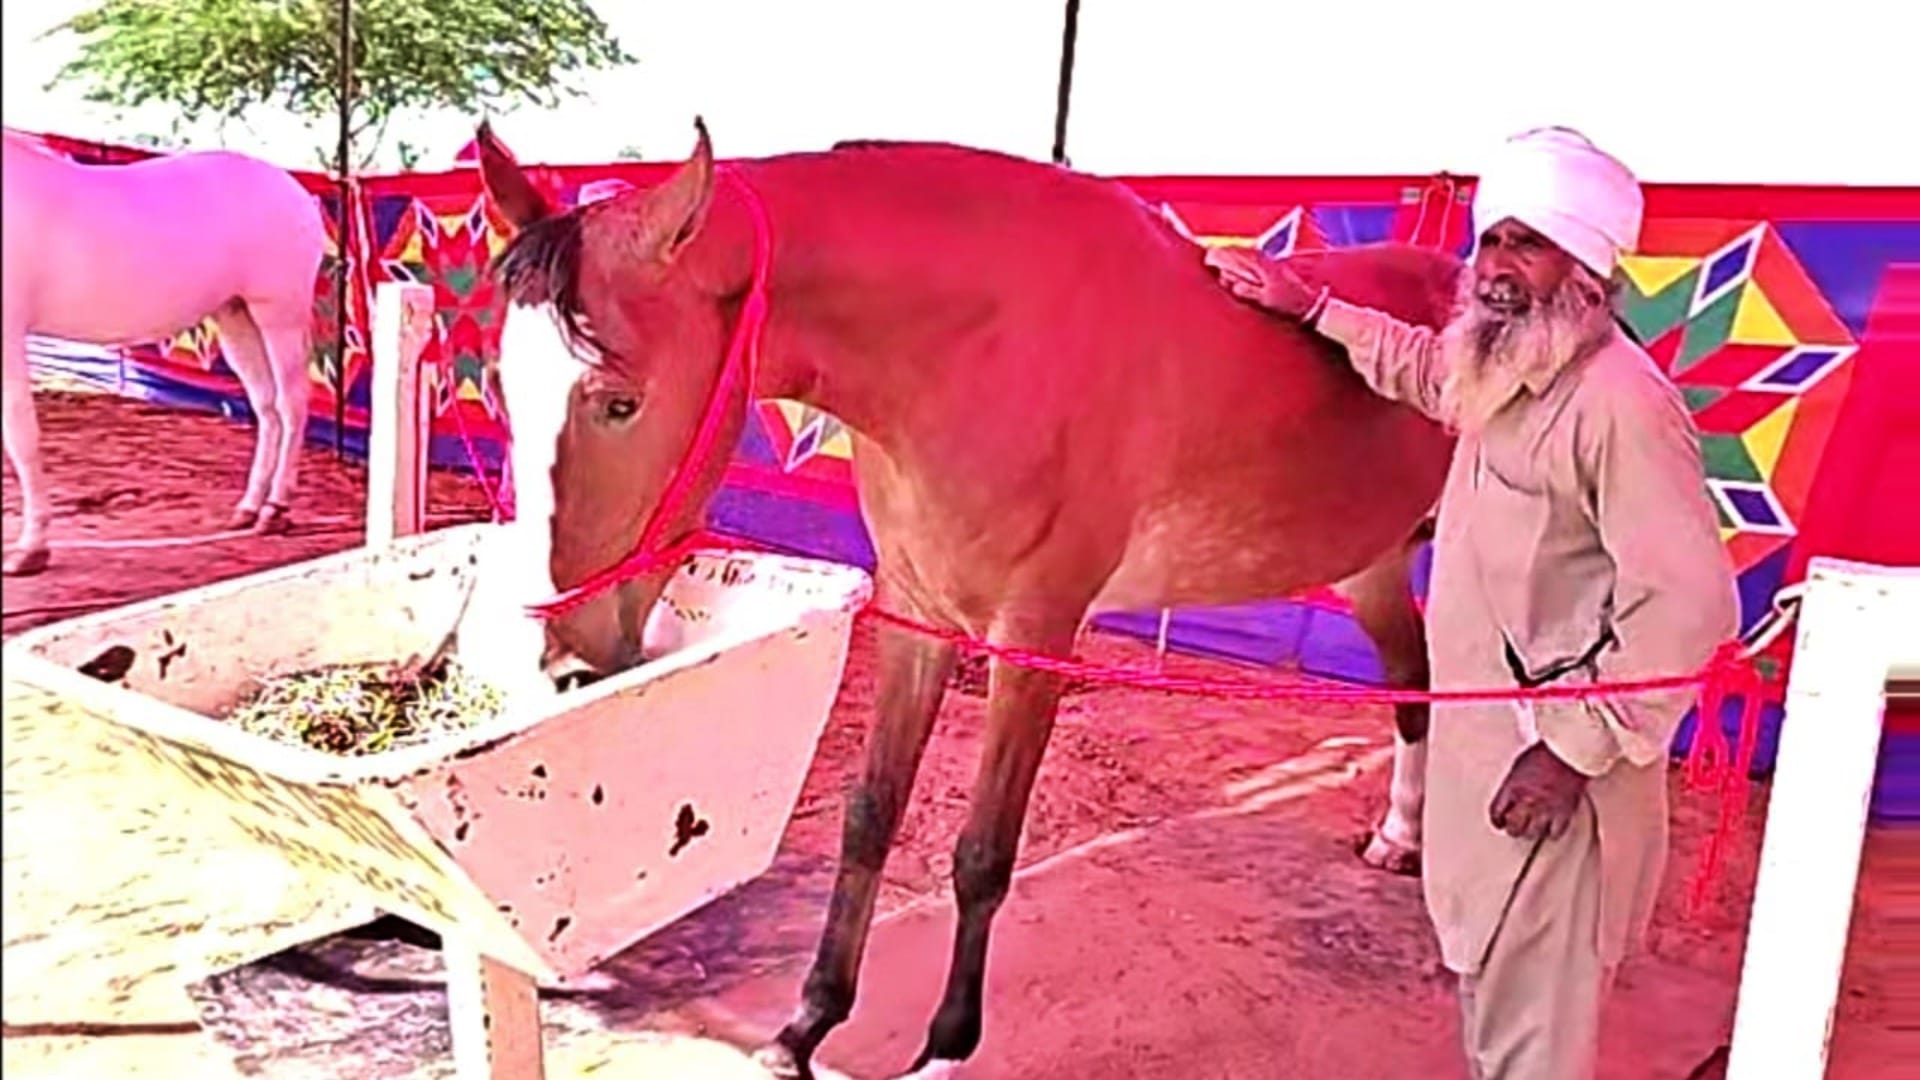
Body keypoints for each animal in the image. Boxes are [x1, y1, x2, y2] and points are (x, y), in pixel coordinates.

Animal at [1, 127, 327, 576]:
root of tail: (295, 190)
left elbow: (21, 437)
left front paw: (31, 550)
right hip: (236, 318)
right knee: (267, 407)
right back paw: (248, 508)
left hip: (279, 314)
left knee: (292, 404)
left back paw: (275, 509)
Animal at [473, 120, 1462, 1078]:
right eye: (503, 390)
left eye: (619, 402)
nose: (556, 658)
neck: (977, 346)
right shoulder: (918, 616)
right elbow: (870, 818)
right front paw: (806, 1024)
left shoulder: (1035, 637)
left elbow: (983, 851)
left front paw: (945, 1047)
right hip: (1373, 563)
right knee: (1413, 686)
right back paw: (1400, 835)